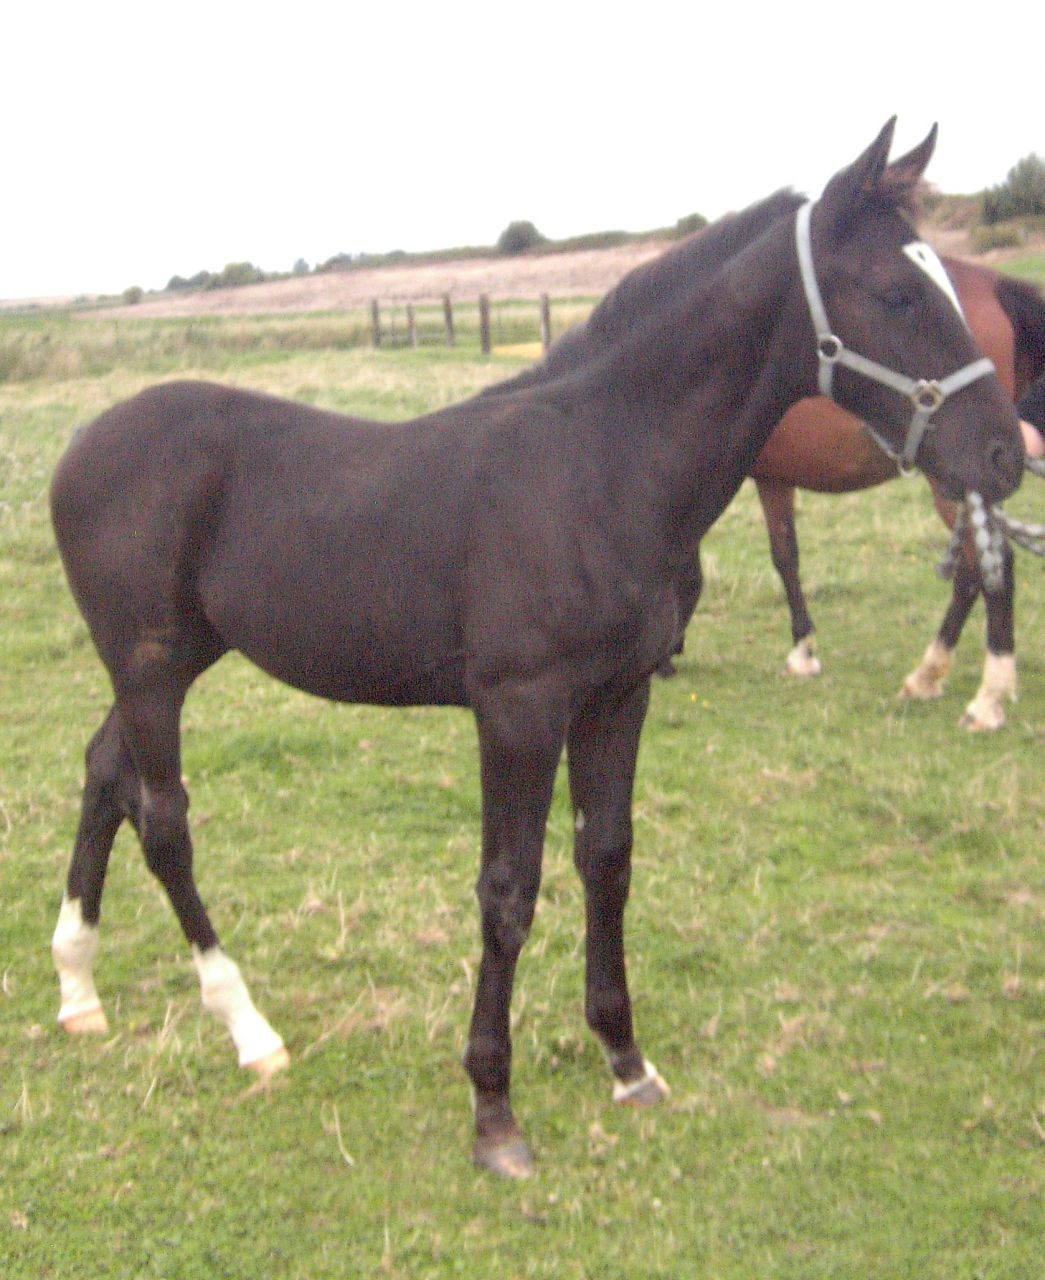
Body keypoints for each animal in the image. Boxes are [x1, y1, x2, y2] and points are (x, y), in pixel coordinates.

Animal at [748, 262, 1045, 730]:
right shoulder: (772, 478)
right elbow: (786, 556)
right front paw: (804, 650)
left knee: (992, 564)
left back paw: (986, 697)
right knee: (970, 571)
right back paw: (928, 675)